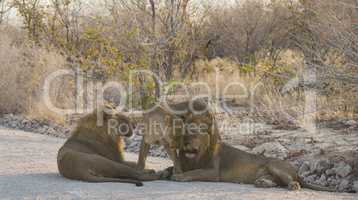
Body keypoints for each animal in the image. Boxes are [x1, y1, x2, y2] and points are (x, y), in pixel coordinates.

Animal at [172, 130, 338, 192]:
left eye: (195, 134)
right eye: (185, 134)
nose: (186, 144)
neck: (197, 156)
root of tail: (296, 171)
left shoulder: (213, 172)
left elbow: (195, 172)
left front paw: (178, 177)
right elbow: (189, 170)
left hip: (274, 164)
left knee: (291, 181)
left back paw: (293, 186)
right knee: (277, 182)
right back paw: (263, 183)